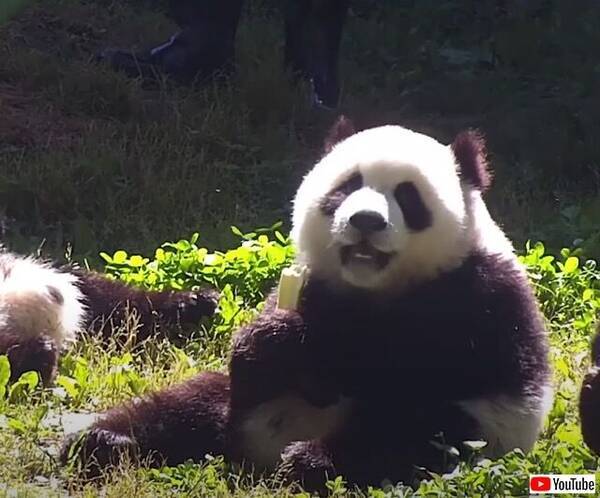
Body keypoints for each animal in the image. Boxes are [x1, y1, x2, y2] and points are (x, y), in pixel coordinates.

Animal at [61, 119, 552, 490]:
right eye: (347, 186)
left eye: (407, 196)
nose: (366, 221)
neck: (373, 286)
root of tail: (255, 451)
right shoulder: (312, 282)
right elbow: (260, 343)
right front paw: (276, 340)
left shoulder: (475, 298)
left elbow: (402, 363)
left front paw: (322, 360)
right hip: (232, 407)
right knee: (186, 405)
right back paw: (104, 443)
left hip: (476, 430)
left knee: (407, 435)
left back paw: (309, 463)